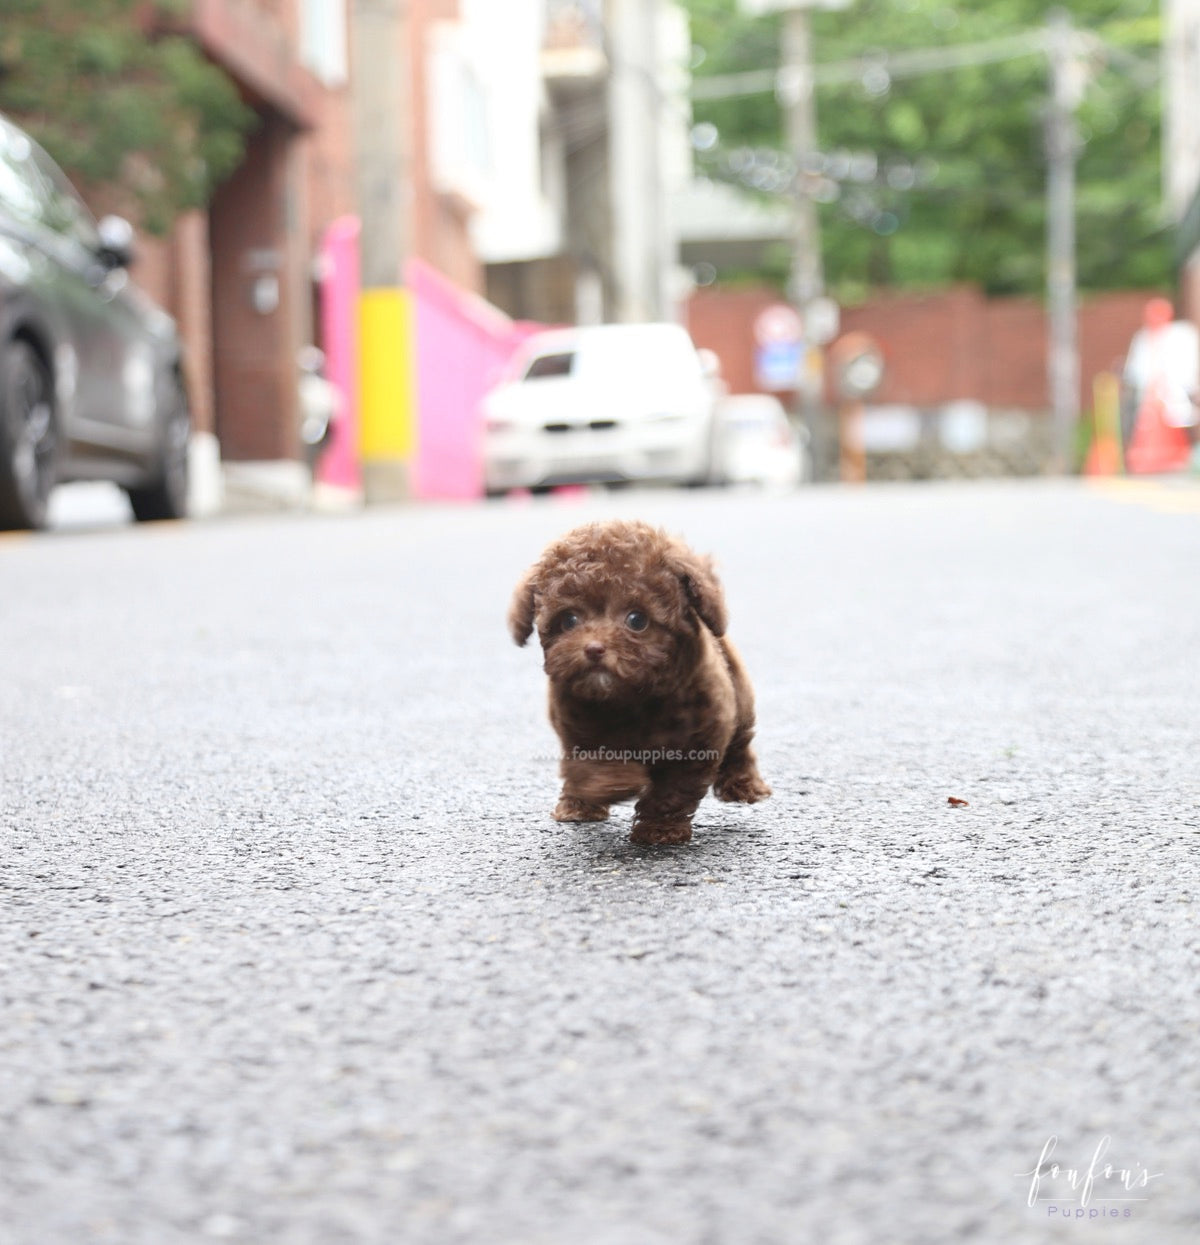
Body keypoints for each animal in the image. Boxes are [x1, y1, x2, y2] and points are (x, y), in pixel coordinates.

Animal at [505, 515, 766, 846]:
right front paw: (611, 782)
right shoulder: (574, 721)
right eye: (569, 620)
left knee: (741, 743)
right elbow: (589, 759)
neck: (632, 699)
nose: (594, 648)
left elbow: (673, 789)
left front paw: (660, 829)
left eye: (637, 620)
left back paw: (744, 785)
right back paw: (576, 807)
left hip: (740, 697)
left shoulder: (700, 737)